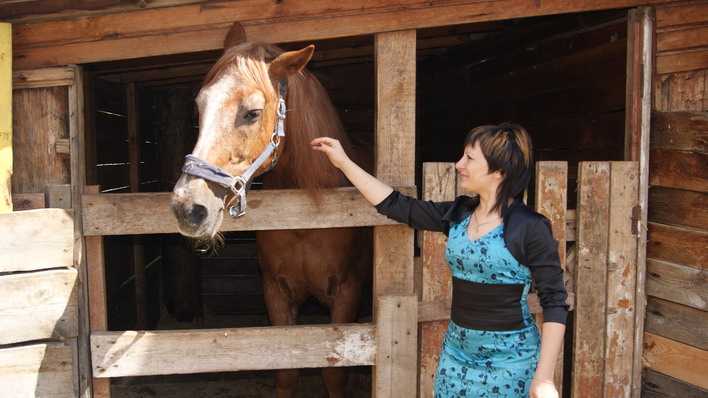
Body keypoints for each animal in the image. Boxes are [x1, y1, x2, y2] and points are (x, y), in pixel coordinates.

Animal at [171, 22, 374, 398]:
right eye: (199, 107)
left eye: (251, 113)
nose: (188, 207)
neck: (305, 222)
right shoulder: (276, 294)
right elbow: (286, 372)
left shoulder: (347, 294)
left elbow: (335, 375)